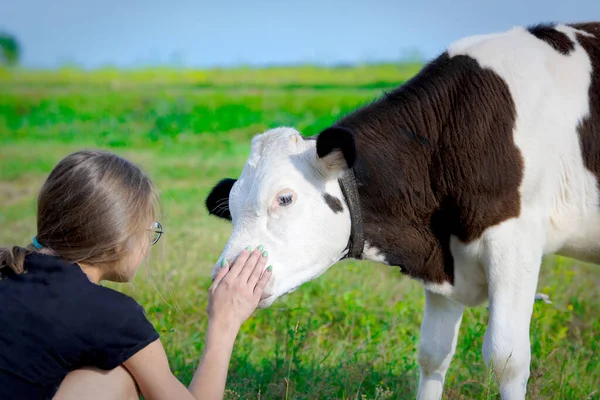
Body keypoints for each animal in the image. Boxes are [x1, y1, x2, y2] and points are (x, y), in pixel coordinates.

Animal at [205, 22, 600, 400]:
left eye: (284, 198)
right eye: (232, 210)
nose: (222, 275)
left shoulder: (515, 241)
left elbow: (507, 358)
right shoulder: (443, 261)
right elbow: (433, 353)